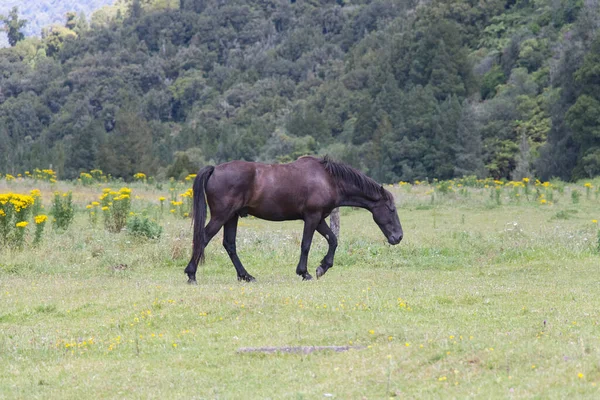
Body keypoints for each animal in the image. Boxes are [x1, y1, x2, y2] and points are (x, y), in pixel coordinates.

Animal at [184, 155, 404, 282]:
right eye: (391, 209)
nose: (399, 237)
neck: (328, 179)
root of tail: (215, 169)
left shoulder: (320, 219)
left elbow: (333, 240)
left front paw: (322, 267)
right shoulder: (312, 217)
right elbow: (306, 245)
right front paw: (304, 272)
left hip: (232, 217)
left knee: (229, 244)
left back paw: (246, 276)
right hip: (222, 216)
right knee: (203, 238)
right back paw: (191, 274)